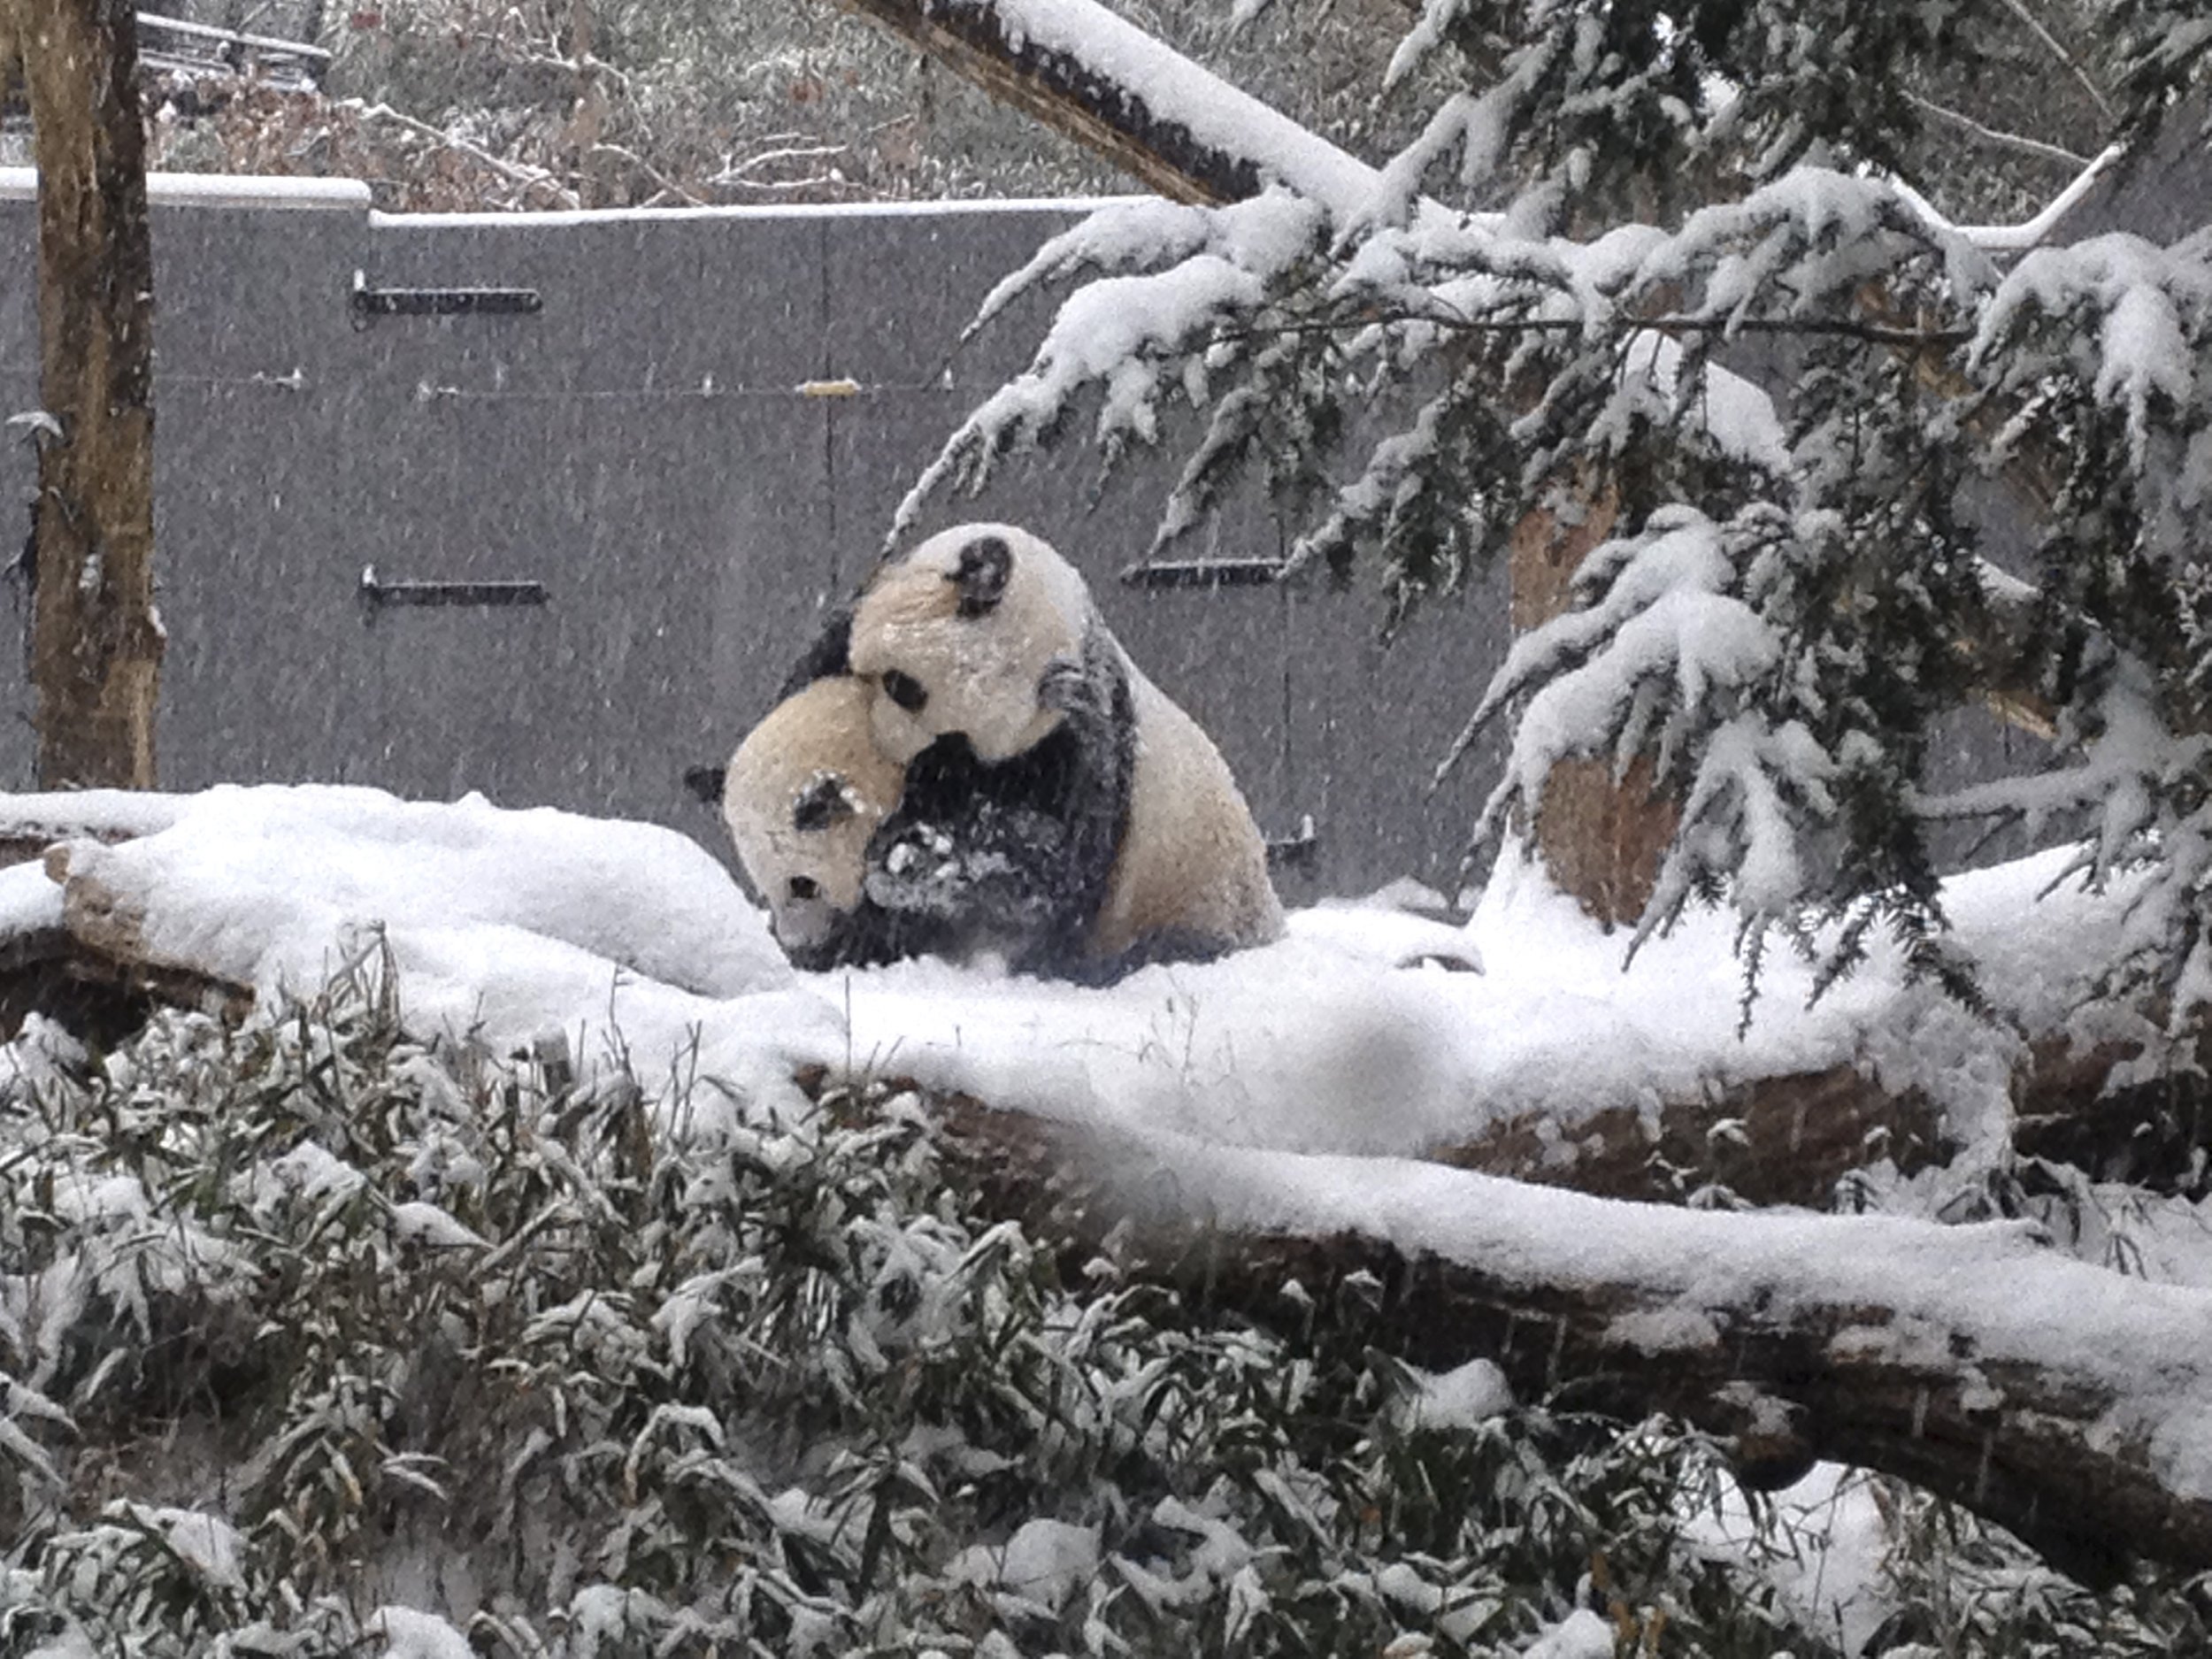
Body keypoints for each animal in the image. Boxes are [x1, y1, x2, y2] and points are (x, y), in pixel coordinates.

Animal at [796, 526, 1292, 982]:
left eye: (953, 739)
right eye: (903, 684)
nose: (888, 746)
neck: (1063, 604)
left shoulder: (1082, 736)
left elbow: (1060, 868)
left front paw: (915, 858)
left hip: (1200, 904)